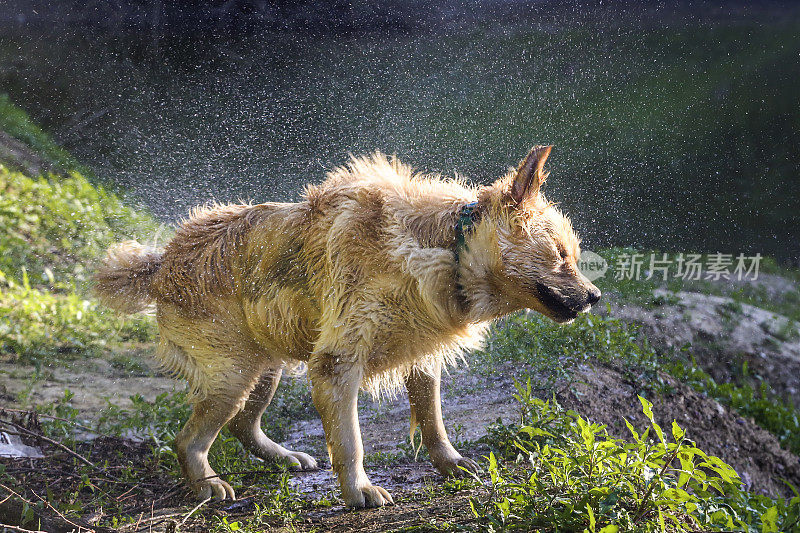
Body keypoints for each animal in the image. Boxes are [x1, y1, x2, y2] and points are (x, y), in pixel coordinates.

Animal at [95, 144, 600, 508]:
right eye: (561, 256)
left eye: (574, 255)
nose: (596, 296)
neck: (445, 250)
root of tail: (161, 263)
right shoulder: (338, 361)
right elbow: (350, 441)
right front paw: (359, 492)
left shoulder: (421, 355)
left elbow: (433, 420)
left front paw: (453, 463)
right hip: (233, 373)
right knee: (188, 440)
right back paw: (207, 485)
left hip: (265, 367)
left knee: (240, 424)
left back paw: (285, 457)